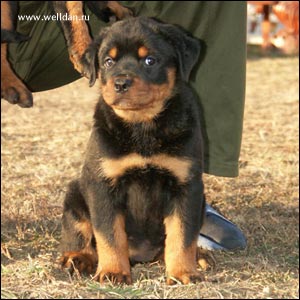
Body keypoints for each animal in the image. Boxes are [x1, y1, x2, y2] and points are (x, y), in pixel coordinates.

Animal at [59, 17, 204, 286]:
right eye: (108, 61)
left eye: (150, 60)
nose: (120, 83)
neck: (142, 126)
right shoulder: (103, 184)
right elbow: (109, 234)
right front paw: (113, 271)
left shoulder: (186, 185)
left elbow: (182, 233)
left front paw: (183, 272)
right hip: (76, 192)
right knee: (79, 229)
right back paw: (76, 258)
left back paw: (198, 257)